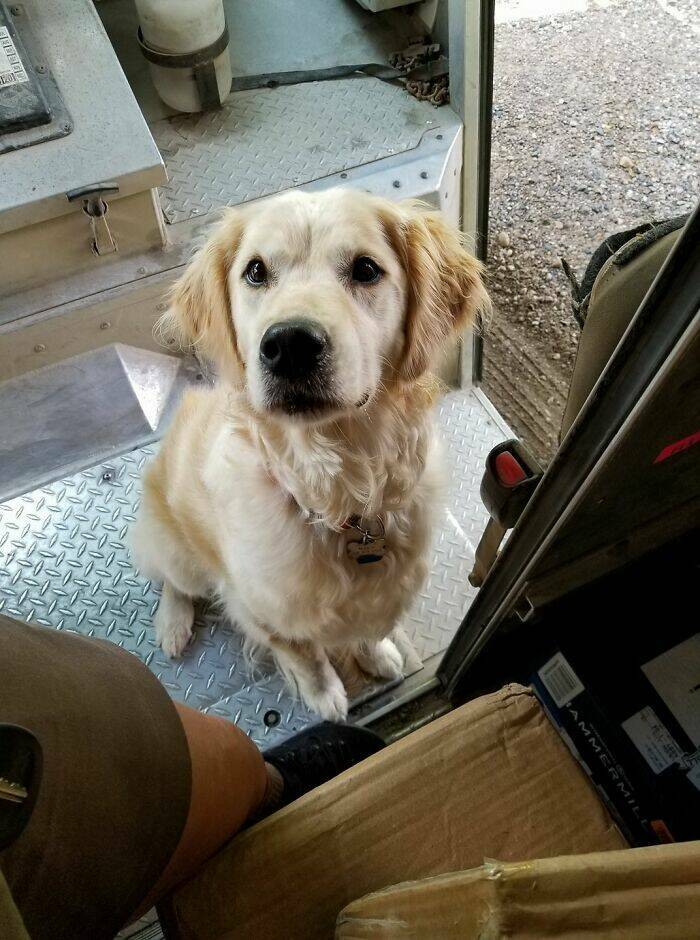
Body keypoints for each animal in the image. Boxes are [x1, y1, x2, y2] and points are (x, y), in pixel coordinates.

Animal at [134, 191, 490, 720]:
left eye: (366, 269)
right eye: (255, 271)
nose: (289, 344)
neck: (339, 494)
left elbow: (367, 630)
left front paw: (378, 654)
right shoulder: (266, 614)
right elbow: (307, 658)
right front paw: (325, 697)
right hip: (179, 553)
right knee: (173, 582)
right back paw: (173, 625)